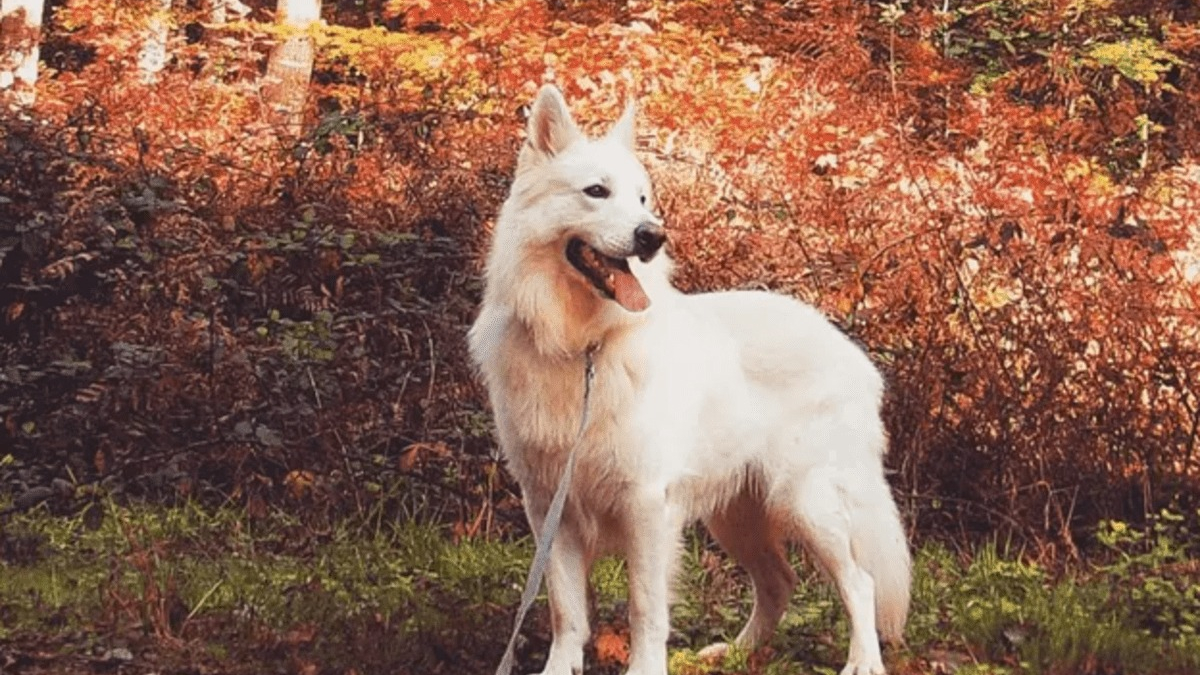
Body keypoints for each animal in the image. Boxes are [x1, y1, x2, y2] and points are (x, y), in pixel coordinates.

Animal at [468, 85, 907, 672]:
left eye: (642, 199)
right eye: (596, 192)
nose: (652, 237)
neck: (585, 347)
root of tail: (852, 352)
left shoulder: (646, 506)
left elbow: (644, 609)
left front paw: (645, 668)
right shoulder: (548, 508)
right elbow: (566, 610)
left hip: (807, 502)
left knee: (859, 582)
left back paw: (862, 661)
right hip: (738, 516)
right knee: (779, 582)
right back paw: (732, 653)